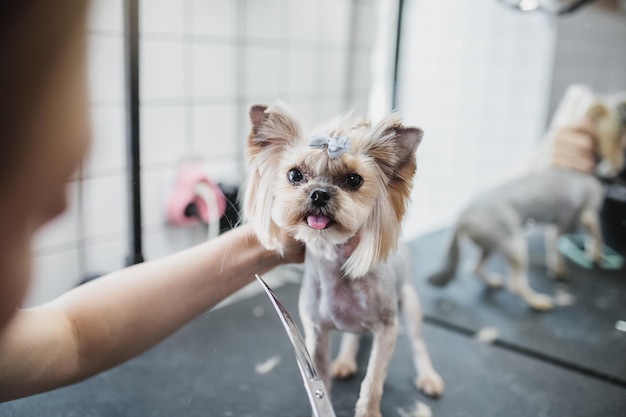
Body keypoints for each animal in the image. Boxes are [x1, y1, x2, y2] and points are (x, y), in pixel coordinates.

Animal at [241, 104, 442, 416]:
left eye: (353, 180)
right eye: (294, 175)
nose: (319, 193)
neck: (333, 261)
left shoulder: (387, 330)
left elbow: (373, 381)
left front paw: (368, 411)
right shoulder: (315, 333)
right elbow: (320, 374)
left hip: (410, 304)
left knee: (419, 344)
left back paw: (428, 377)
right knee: (352, 335)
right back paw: (346, 360)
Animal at [426, 87, 620, 308]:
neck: (569, 165)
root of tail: (461, 220)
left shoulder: (558, 227)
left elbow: (556, 248)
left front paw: (560, 268)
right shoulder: (589, 212)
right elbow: (597, 235)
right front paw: (597, 254)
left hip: (490, 244)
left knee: (474, 268)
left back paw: (492, 281)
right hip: (514, 244)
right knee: (515, 284)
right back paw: (537, 301)